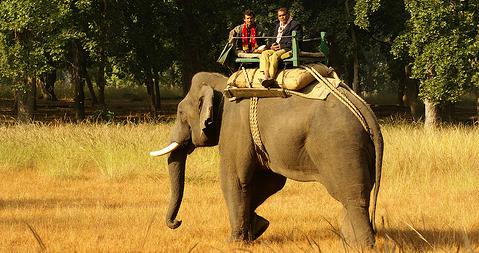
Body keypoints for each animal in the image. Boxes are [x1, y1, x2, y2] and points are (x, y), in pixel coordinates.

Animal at [155, 70, 386, 247]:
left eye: (180, 113)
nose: (178, 222)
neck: (224, 84)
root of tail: (366, 110)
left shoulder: (234, 127)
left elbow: (234, 180)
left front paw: (234, 243)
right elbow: (269, 182)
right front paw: (257, 228)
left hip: (340, 146)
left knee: (352, 196)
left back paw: (363, 246)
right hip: (358, 148)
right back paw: (349, 241)